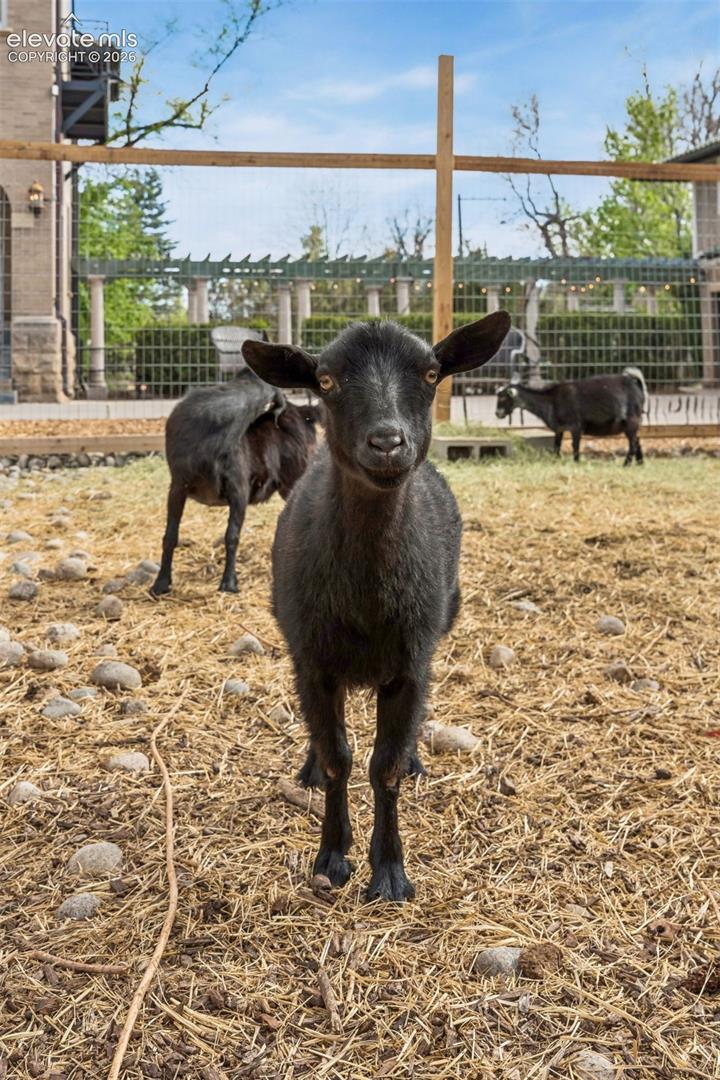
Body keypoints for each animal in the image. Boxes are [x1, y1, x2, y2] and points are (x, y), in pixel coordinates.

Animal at [151, 370, 321, 596]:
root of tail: (306, 413)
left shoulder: (239, 489)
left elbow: (231, 536)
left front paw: (229, 583)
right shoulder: (178, 486)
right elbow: (170, 535)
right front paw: (161, 583)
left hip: (296, 475)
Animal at [243, 313, 511, 902]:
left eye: (432, 374)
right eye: (325, 381)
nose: (387, 442)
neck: (366, 596)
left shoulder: (410, 665)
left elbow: (382, 766)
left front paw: (389, 870)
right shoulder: (314, 662)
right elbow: (337, 758)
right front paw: (332, 856)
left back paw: (413, 759)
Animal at [495, 367, 648, 464]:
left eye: (502, 397)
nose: (497, 413)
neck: (551, 400)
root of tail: (637, 386)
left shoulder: (576, 426)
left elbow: (575, 446)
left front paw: (576, 462)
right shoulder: (559, 429)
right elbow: (556, 446)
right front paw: (556, 461)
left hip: (631, 421)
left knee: (633, 444)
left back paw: (626, 464)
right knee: (637, 441)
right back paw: (640, 463)